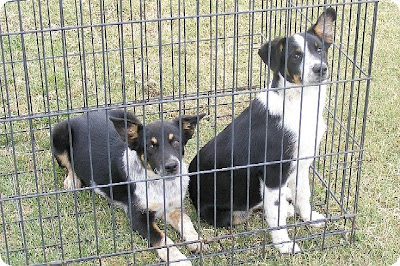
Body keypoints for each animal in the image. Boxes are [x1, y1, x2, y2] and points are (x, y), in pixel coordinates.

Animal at [51, 109, 205, 264]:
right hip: (59, 134)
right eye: (150, 146)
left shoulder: (172, 207)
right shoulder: (139, 218)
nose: (172, 166)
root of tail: (84, 115)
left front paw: (195, 240)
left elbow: (186, 221)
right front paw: (179, 259)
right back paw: (72, 180)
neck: (161, 184)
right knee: (69, 165)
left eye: (176, 142)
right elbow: (162, 239)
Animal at [189, 7, 336, 254]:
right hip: (228, 212)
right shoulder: (274, 172)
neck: (298, 103)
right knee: (249, 211)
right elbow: (275, 216)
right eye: (295, 56)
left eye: (319, 49)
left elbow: (303, 195)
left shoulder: (302, 162)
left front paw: (309, 218)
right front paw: (284, 245)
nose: (321, 69)